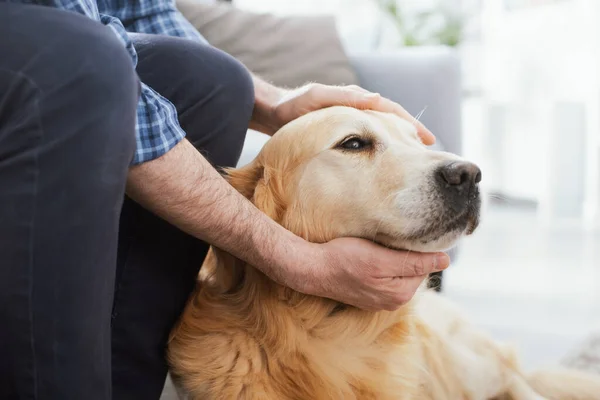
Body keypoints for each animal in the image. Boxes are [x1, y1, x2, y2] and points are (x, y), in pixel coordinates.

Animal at [166, 106, 600, 400]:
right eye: (354, 143)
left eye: (419, 142)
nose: (469, 174)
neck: (328, 327)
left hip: (465, 366)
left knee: (516, 380)